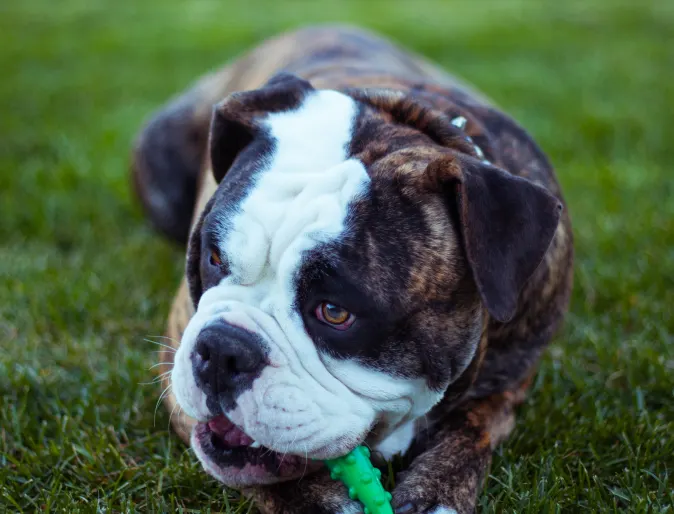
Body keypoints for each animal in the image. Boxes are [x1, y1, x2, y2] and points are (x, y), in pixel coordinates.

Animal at [131, 25, 572, 512]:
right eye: (213, 258)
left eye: (334, 312)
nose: (222, 350)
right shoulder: (173, 357)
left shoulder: (510, 381)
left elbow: (475, 427)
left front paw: (437, 489)